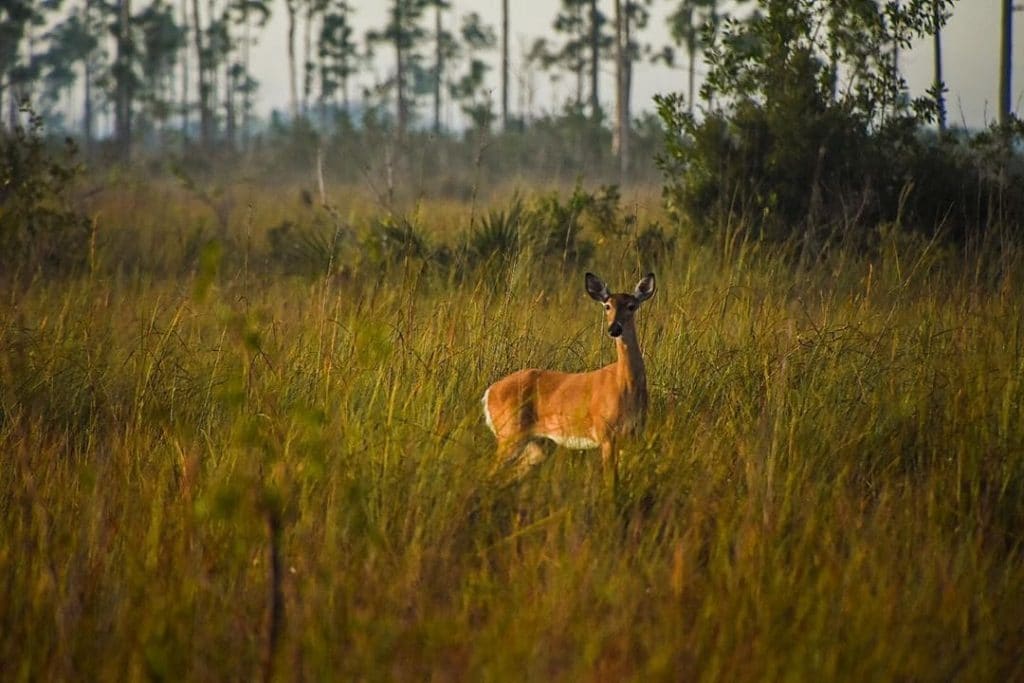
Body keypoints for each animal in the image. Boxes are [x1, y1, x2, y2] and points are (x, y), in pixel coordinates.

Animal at [481, 270, 655, 475]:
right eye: (607, 306)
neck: (625, 384)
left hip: (535, 444)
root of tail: (489, 393)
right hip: (509, 432)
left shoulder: (634, 435)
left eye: (631, 306)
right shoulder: (605, 433)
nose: (614, 328)